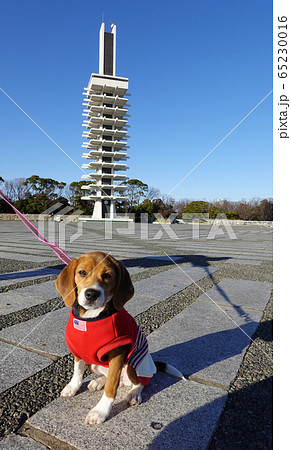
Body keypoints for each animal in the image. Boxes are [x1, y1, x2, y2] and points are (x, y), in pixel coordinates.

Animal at [56, 251, 160, 424]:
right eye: (82, 272)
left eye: (108, 275)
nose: (91, 293)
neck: (91, 317)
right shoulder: (78, 350)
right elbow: (77, 371)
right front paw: (72, 387)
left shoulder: (117, 353)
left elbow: (111, 386)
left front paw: (100, 411)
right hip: (93, 363)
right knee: (113, 377)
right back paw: (98, 382)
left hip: (133, 364)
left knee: (138, 382)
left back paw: (134, 394)